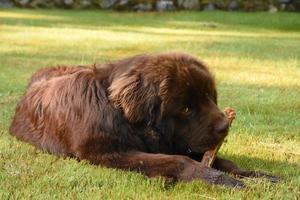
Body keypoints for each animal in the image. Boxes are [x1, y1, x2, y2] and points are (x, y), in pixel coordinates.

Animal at [8, 52, 276, 188]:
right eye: (186, 109)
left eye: (210, 96)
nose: (224, 126)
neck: (120, 115)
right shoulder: (105, 153)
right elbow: (179, 161)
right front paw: (220, 180)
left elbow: (225, 162)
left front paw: (256, 176)